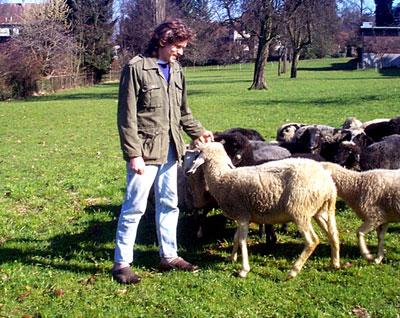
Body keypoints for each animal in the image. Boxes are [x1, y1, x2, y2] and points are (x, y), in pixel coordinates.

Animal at [188, 142, 340, 278]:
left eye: (198, 151)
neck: (222, 179)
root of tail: (329, 185)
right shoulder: (243, 217)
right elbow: (236, 237)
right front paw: (231, 258)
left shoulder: (242, 215)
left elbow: (242, 240)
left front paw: (244, 270)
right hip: (318, 211)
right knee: (333, 233)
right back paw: (335, 264)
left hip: (299, 210)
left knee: (312, 241)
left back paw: (293, 272)